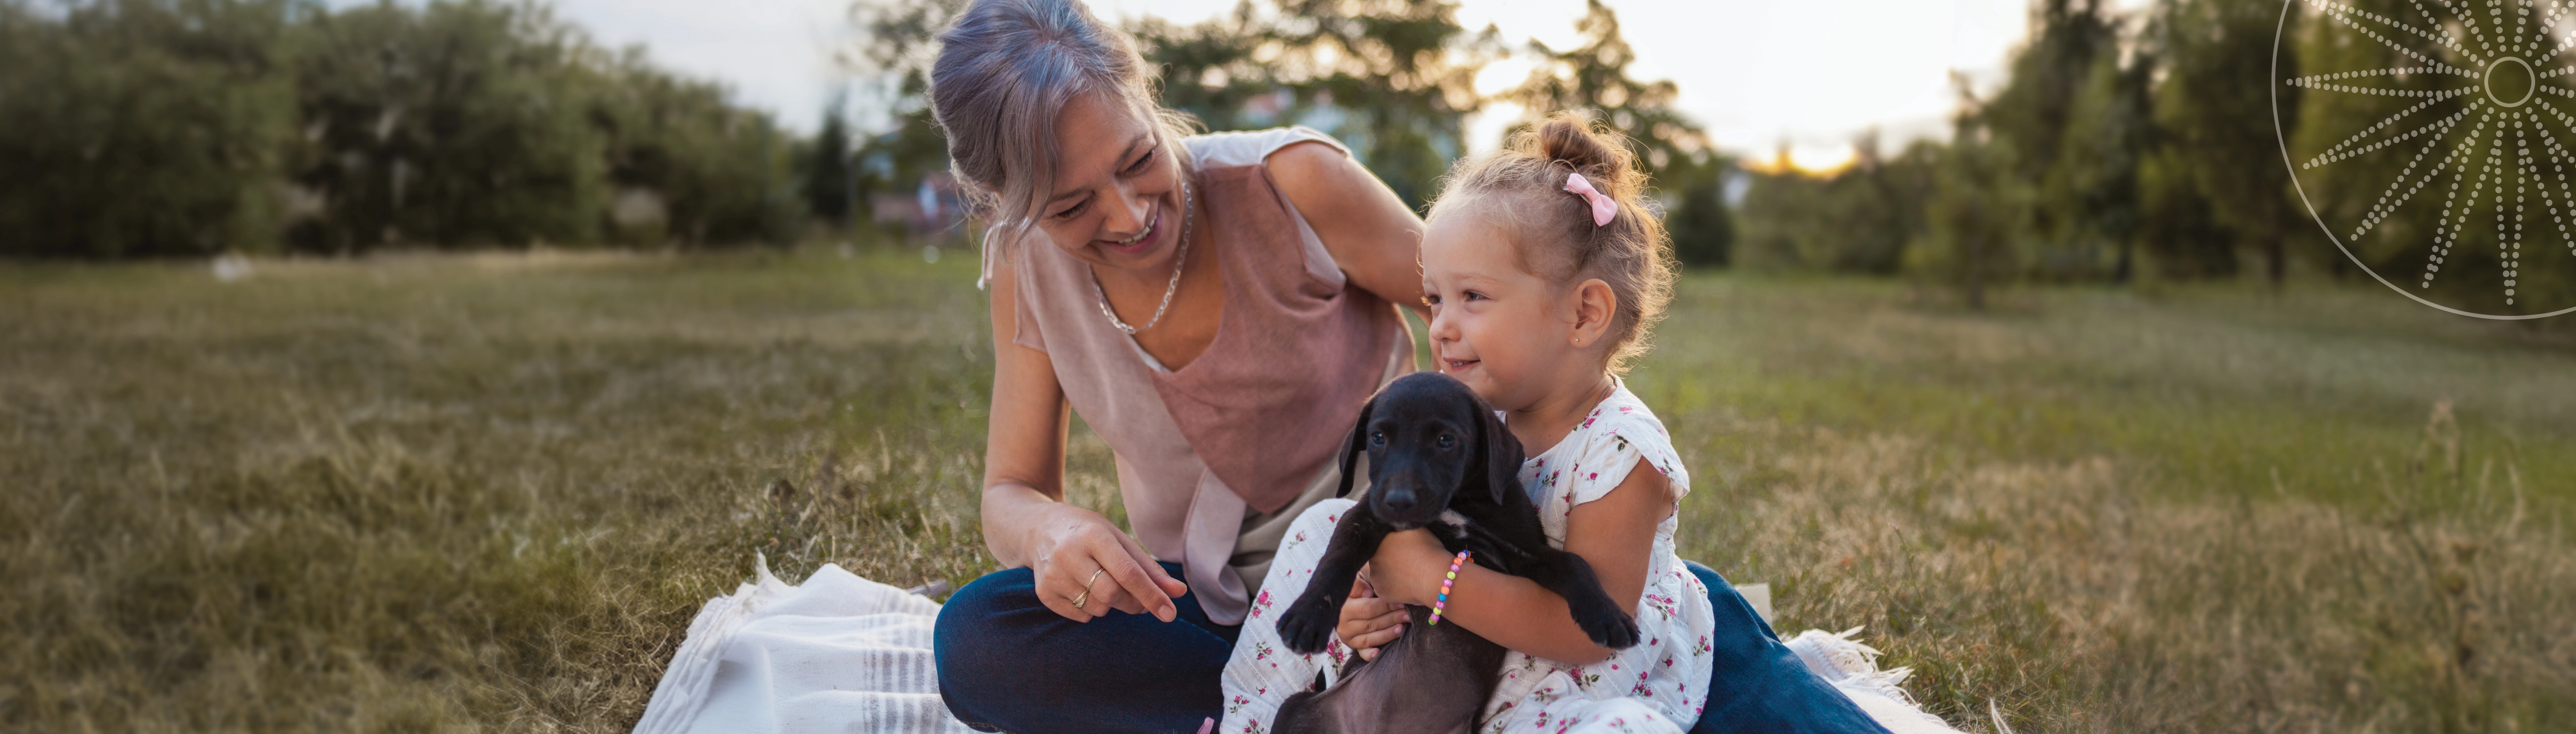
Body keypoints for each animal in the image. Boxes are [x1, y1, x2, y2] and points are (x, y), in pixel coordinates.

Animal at [1272, 373, 1648, 726]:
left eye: (1445, 441)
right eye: (1377, 438)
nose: (1398, 501)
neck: (1459, 502)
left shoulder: (1525, 551)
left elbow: (1572, 563)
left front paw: (1607, 615)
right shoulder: (1363, 518)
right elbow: (1336, 559)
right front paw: (1308, 616)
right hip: (1294, 708)